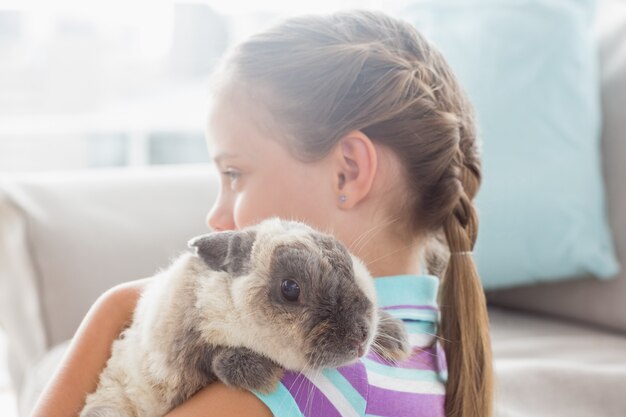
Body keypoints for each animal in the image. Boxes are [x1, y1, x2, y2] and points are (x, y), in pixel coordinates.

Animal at [79, 216, 410, 414]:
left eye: (349, 264)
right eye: (290, 288)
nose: (361, 338)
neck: (229, 301)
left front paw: (396, 337)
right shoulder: (183, 350)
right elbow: (211, 358)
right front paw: (262, 374)